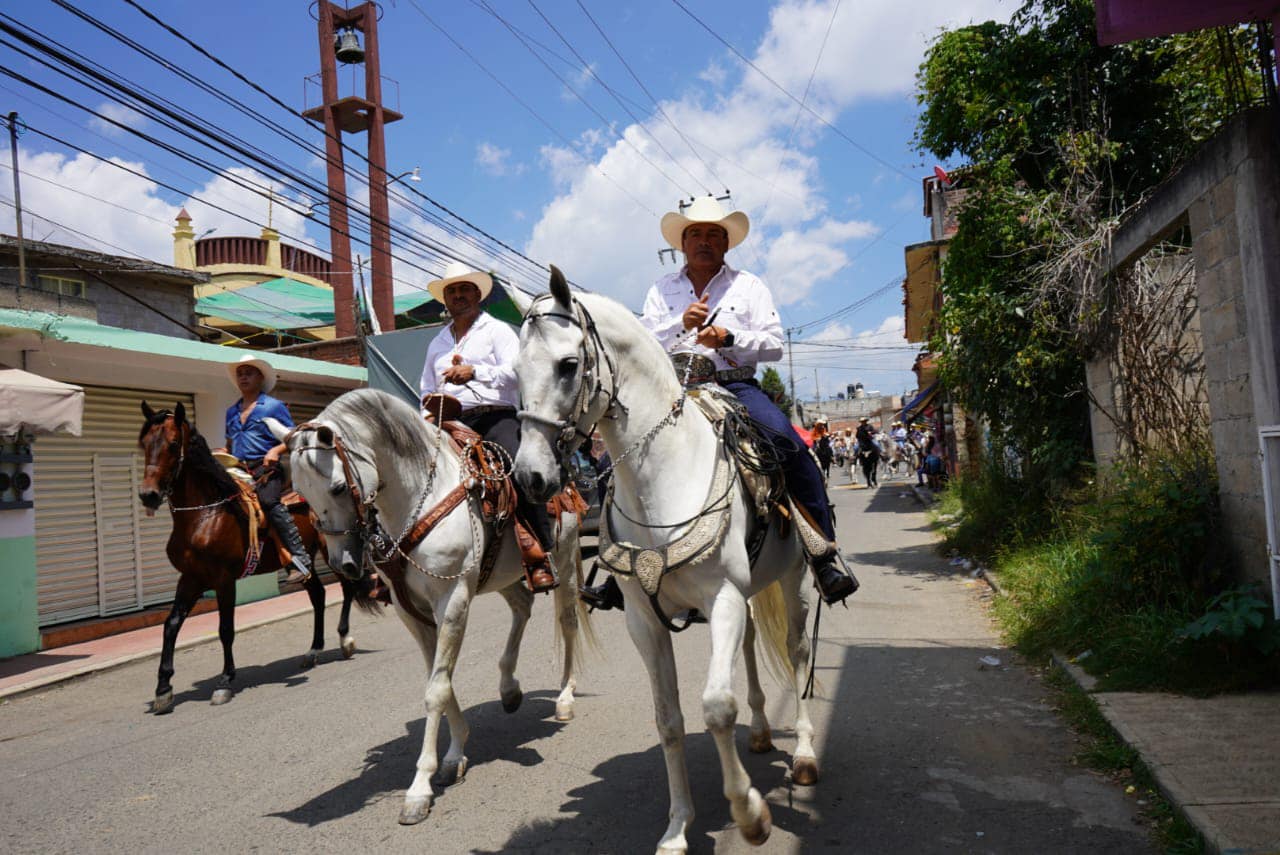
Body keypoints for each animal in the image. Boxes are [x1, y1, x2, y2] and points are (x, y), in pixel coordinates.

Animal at [137, 401, 373, 716]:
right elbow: (171, 625)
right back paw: (313, 650)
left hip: (333, 549)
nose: (148, 495)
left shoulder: (224, 580)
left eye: (174, 444)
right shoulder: (191, 578)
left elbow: (225, 629)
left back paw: (345, 640)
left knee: (346, 588)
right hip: (306, 561)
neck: (206, 514)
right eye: (144, 443)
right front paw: (163, 689)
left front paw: (225, 682)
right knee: (318, 595)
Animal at [272, 391, 591, 824]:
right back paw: (509, 688)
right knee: (522, 606)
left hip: (566, 558)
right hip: (502, 574)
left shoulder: (452, 599)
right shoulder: (410, 610)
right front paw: (454, 755)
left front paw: (419, 788)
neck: (418, 499)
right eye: (301, 496)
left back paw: (564, 699)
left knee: (568, 621)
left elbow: (436, 690)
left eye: (338, 487)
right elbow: (439, 680)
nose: (344, 565)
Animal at [509, 272, 819, 855]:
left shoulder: (721, 600)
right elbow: (669, 719)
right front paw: (677, 829)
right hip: (747, 594)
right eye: (515, 371)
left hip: (793, 579)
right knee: (750, 646)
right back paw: (762, 731)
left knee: (797, 652)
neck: (664, 479)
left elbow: (716, 707)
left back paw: (807, 754)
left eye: (568, 364)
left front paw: (749, 814)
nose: (530, 478)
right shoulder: (645, 620)